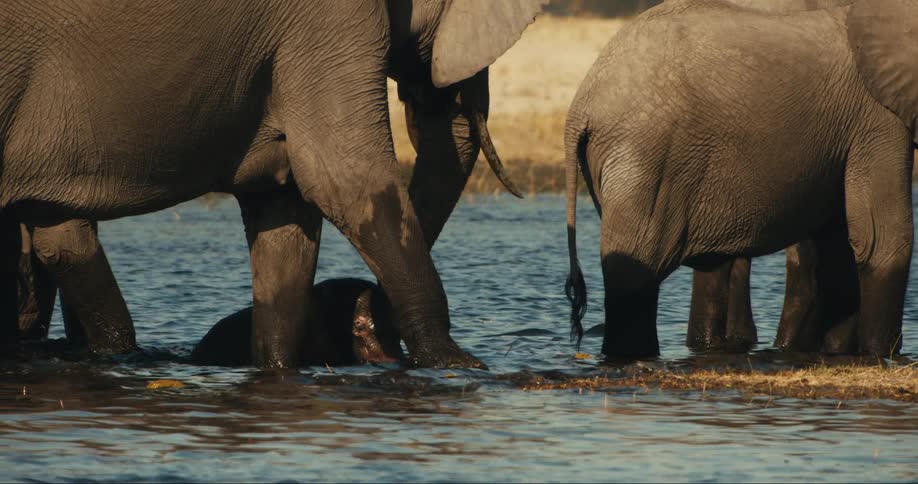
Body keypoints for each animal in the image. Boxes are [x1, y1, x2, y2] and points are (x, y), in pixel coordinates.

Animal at [564, 0, 917, 358]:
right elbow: (882, 237)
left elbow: (838, 243)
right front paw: (880, 356)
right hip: (648, 158)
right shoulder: (877, 117)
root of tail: (581, 106)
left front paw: (836, 353)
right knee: (637, 273)